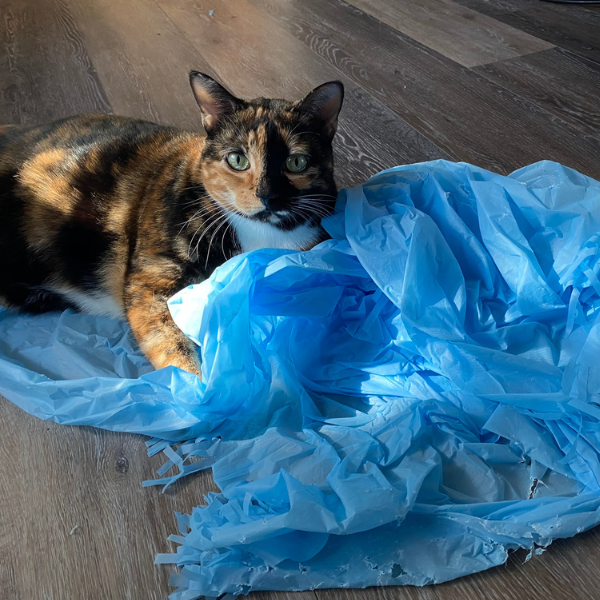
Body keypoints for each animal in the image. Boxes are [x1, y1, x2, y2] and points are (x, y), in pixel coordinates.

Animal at [0, 72, 344, 378]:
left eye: (296, 162)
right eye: (237, 160)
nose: (268, 196)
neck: (259, 235)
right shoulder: (151, 283)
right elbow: (173, 347)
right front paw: (204, 396)